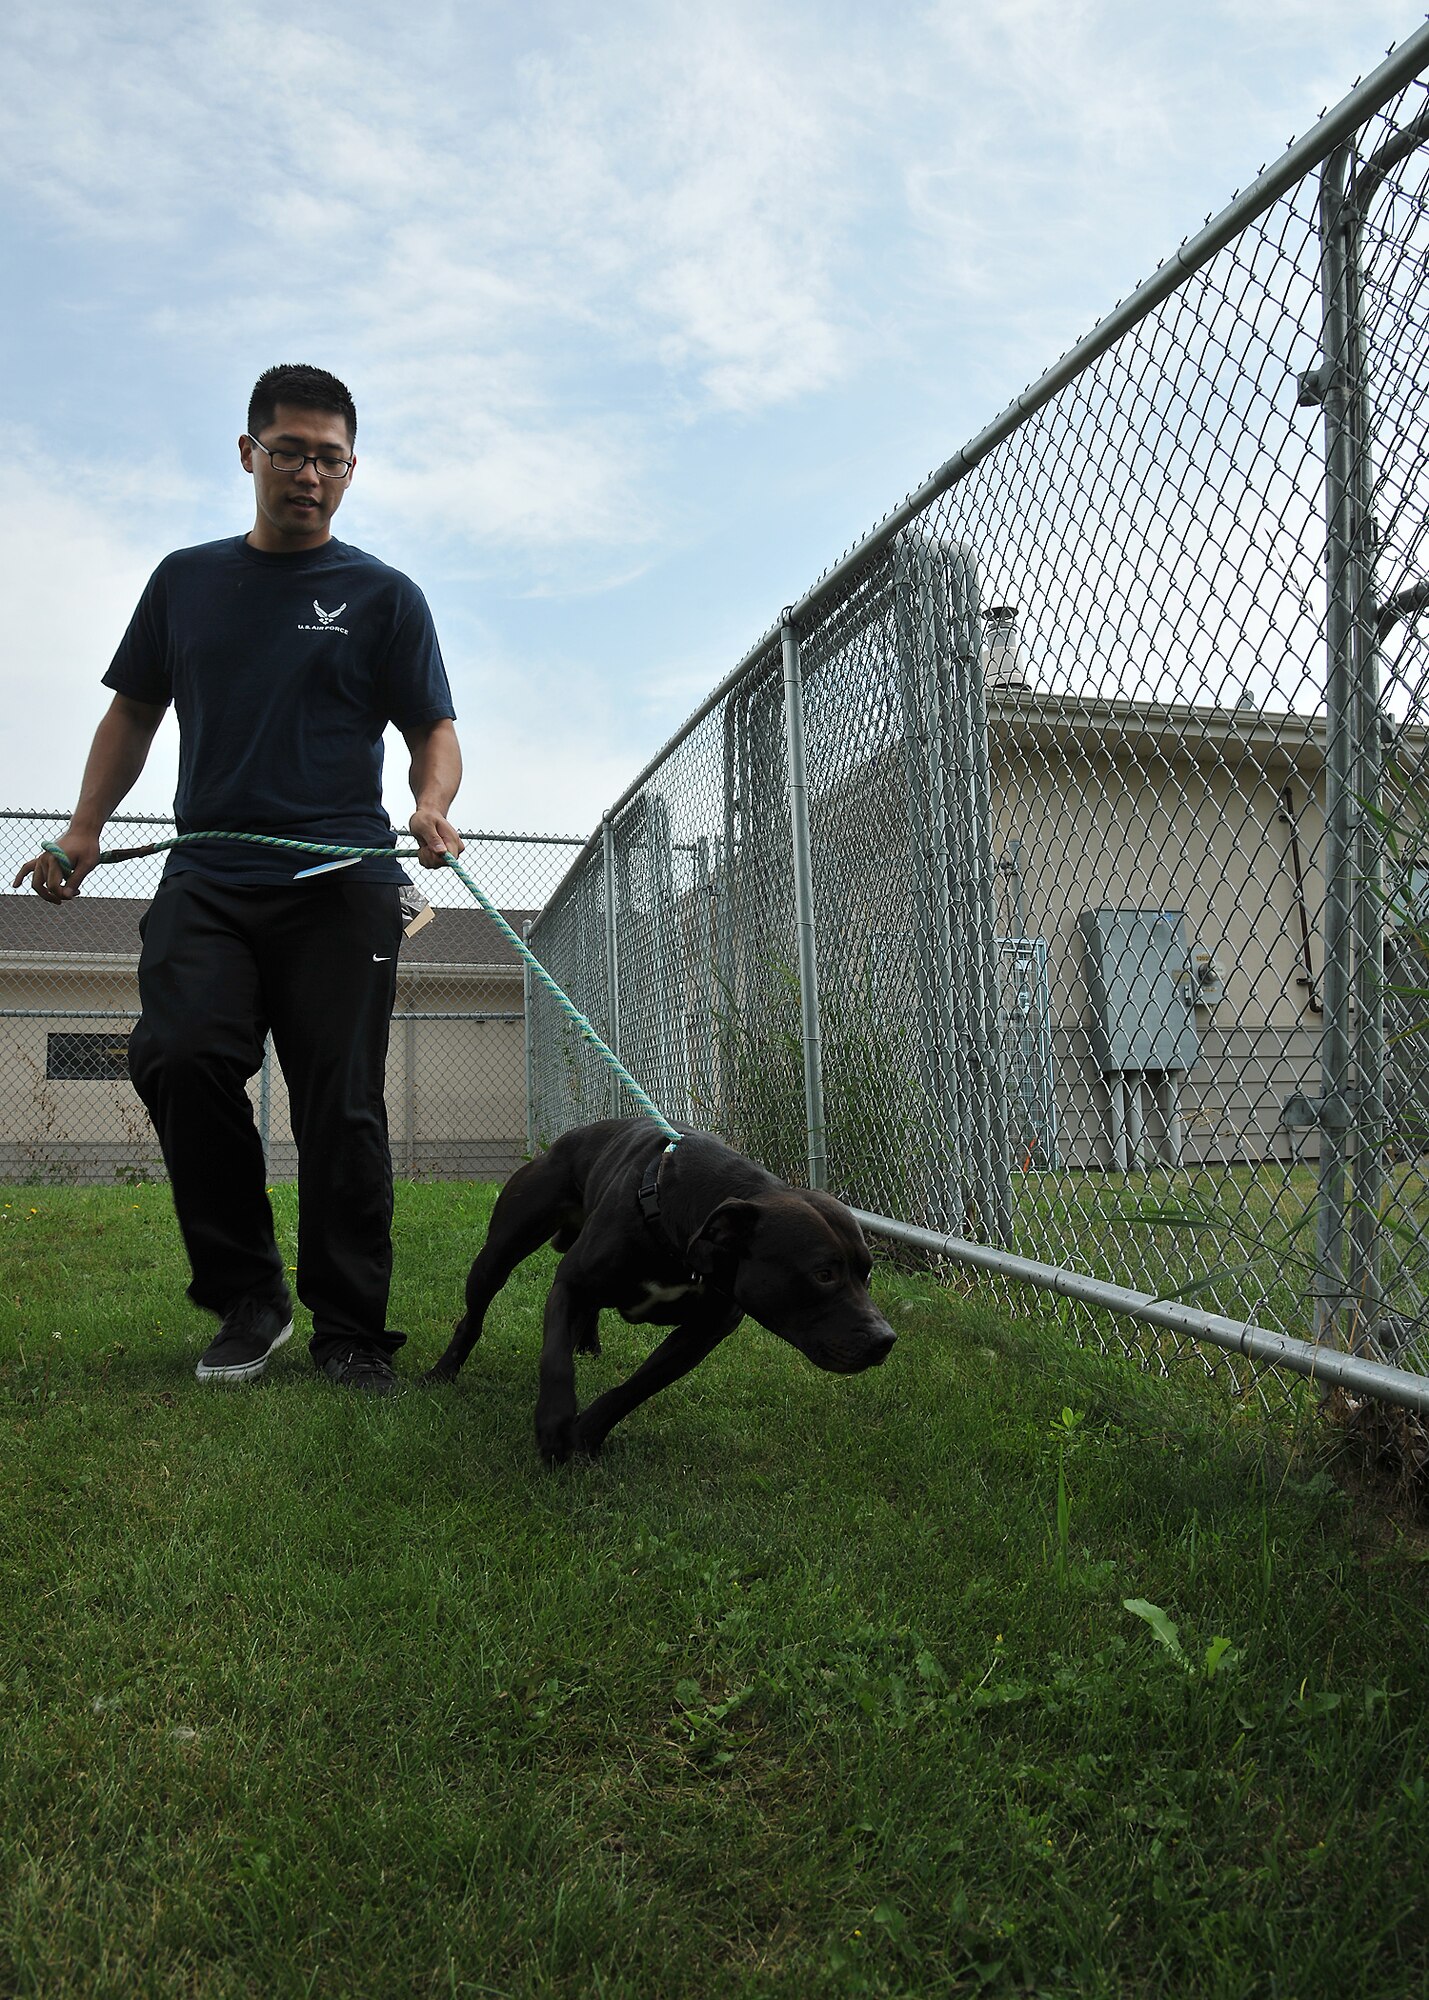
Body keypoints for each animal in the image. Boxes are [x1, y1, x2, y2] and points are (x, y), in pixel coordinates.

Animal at [420, 1120, 888, 1464]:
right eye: (823, 1274)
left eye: (867, 1274)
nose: (885, 1339)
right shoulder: (571, 1285)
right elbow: (554, 1360)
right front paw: (554, 1424)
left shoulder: (700, 1334)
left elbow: (634, 1389)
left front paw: (584, 1435)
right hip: (498, 1255)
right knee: (474, 1317)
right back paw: (443, 1372)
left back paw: (588, 1343)